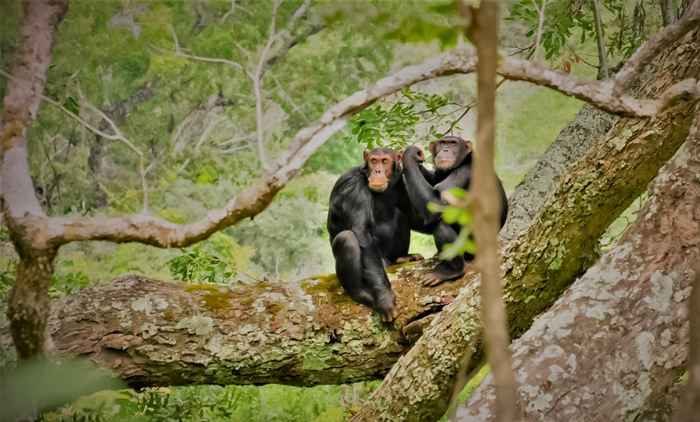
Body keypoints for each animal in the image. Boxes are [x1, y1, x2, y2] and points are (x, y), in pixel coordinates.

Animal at [326, 147, 412, 322]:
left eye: (384, 161)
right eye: (373, 160)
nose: (378, 170)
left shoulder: (400, 179)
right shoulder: (353, 187)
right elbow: (361, 233)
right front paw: (385, 298)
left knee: (401, 214)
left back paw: (402, 258)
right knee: (347, 239)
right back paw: (361, 294)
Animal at [400, 135, 508, 286]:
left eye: (453, 143)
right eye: (442, 143)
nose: (446, 149)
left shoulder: (465, 172)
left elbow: (437, 203)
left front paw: (410, 154)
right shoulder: (438, 173)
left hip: (472, 245)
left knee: (441, 225)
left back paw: (450, 271)